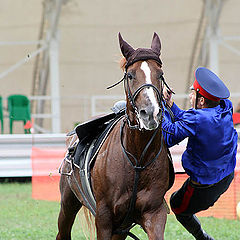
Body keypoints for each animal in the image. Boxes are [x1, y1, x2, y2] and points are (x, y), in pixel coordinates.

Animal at [57, 32, 173, 240]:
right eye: (130, 75)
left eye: (160, 74)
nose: (150, 113)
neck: (137, 158)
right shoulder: (104, 218)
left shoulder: (154, 213)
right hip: (68, 204)